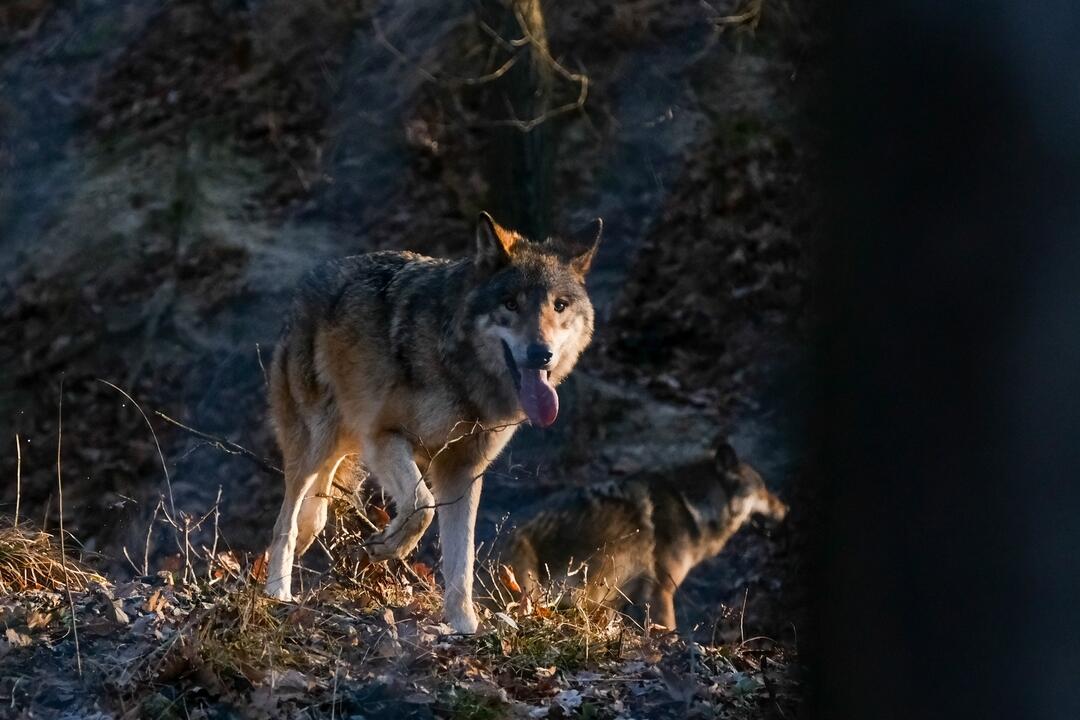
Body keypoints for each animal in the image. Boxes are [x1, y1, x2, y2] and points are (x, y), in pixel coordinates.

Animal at [261, 211, 600, 634]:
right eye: (510, 304)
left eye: (560, 305)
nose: (542, 354)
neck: (460, 371)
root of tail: (310, 279)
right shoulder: (386, 437)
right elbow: (421, 507)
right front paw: (387, 546)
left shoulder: (462, 469)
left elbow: (461, 562)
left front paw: (464, 626)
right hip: (315, 442)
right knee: (285, 523)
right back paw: (277, 592)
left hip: (341, 447)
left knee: (314, 515)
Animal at [501, 442, 790, 634]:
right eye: (763, 489)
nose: (786, 510)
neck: (693, 506)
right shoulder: (661, 591)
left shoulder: (612, 601)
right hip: (527, 595)